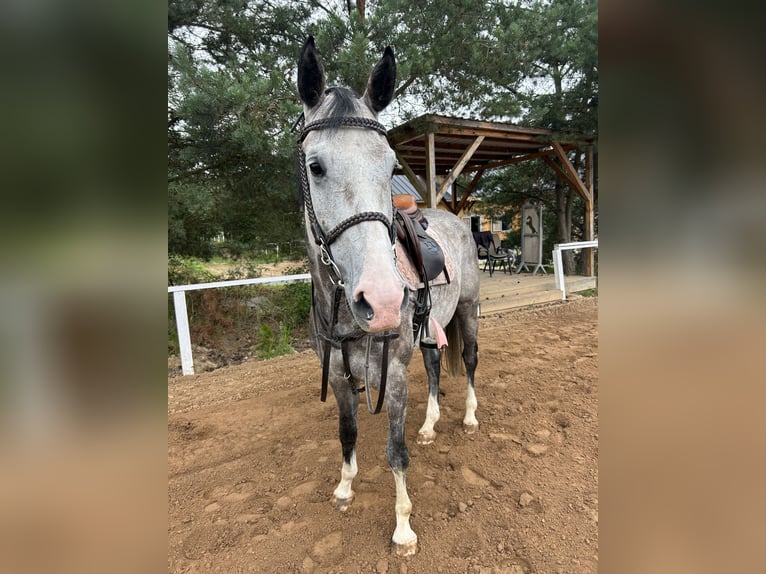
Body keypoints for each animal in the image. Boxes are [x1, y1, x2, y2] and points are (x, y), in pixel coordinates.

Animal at [296, 36, 480, 556]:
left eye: (391, 166)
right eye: (315, 166)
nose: (380, 301)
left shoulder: (393, 370)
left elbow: (396, 453)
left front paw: (403, 528)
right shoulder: (338, 375)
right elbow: (347, 432)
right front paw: (344, 487)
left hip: (468, 312)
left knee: (470, 361)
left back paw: (470, 417)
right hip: (429, 329)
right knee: (436, 367)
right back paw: (431, 425)